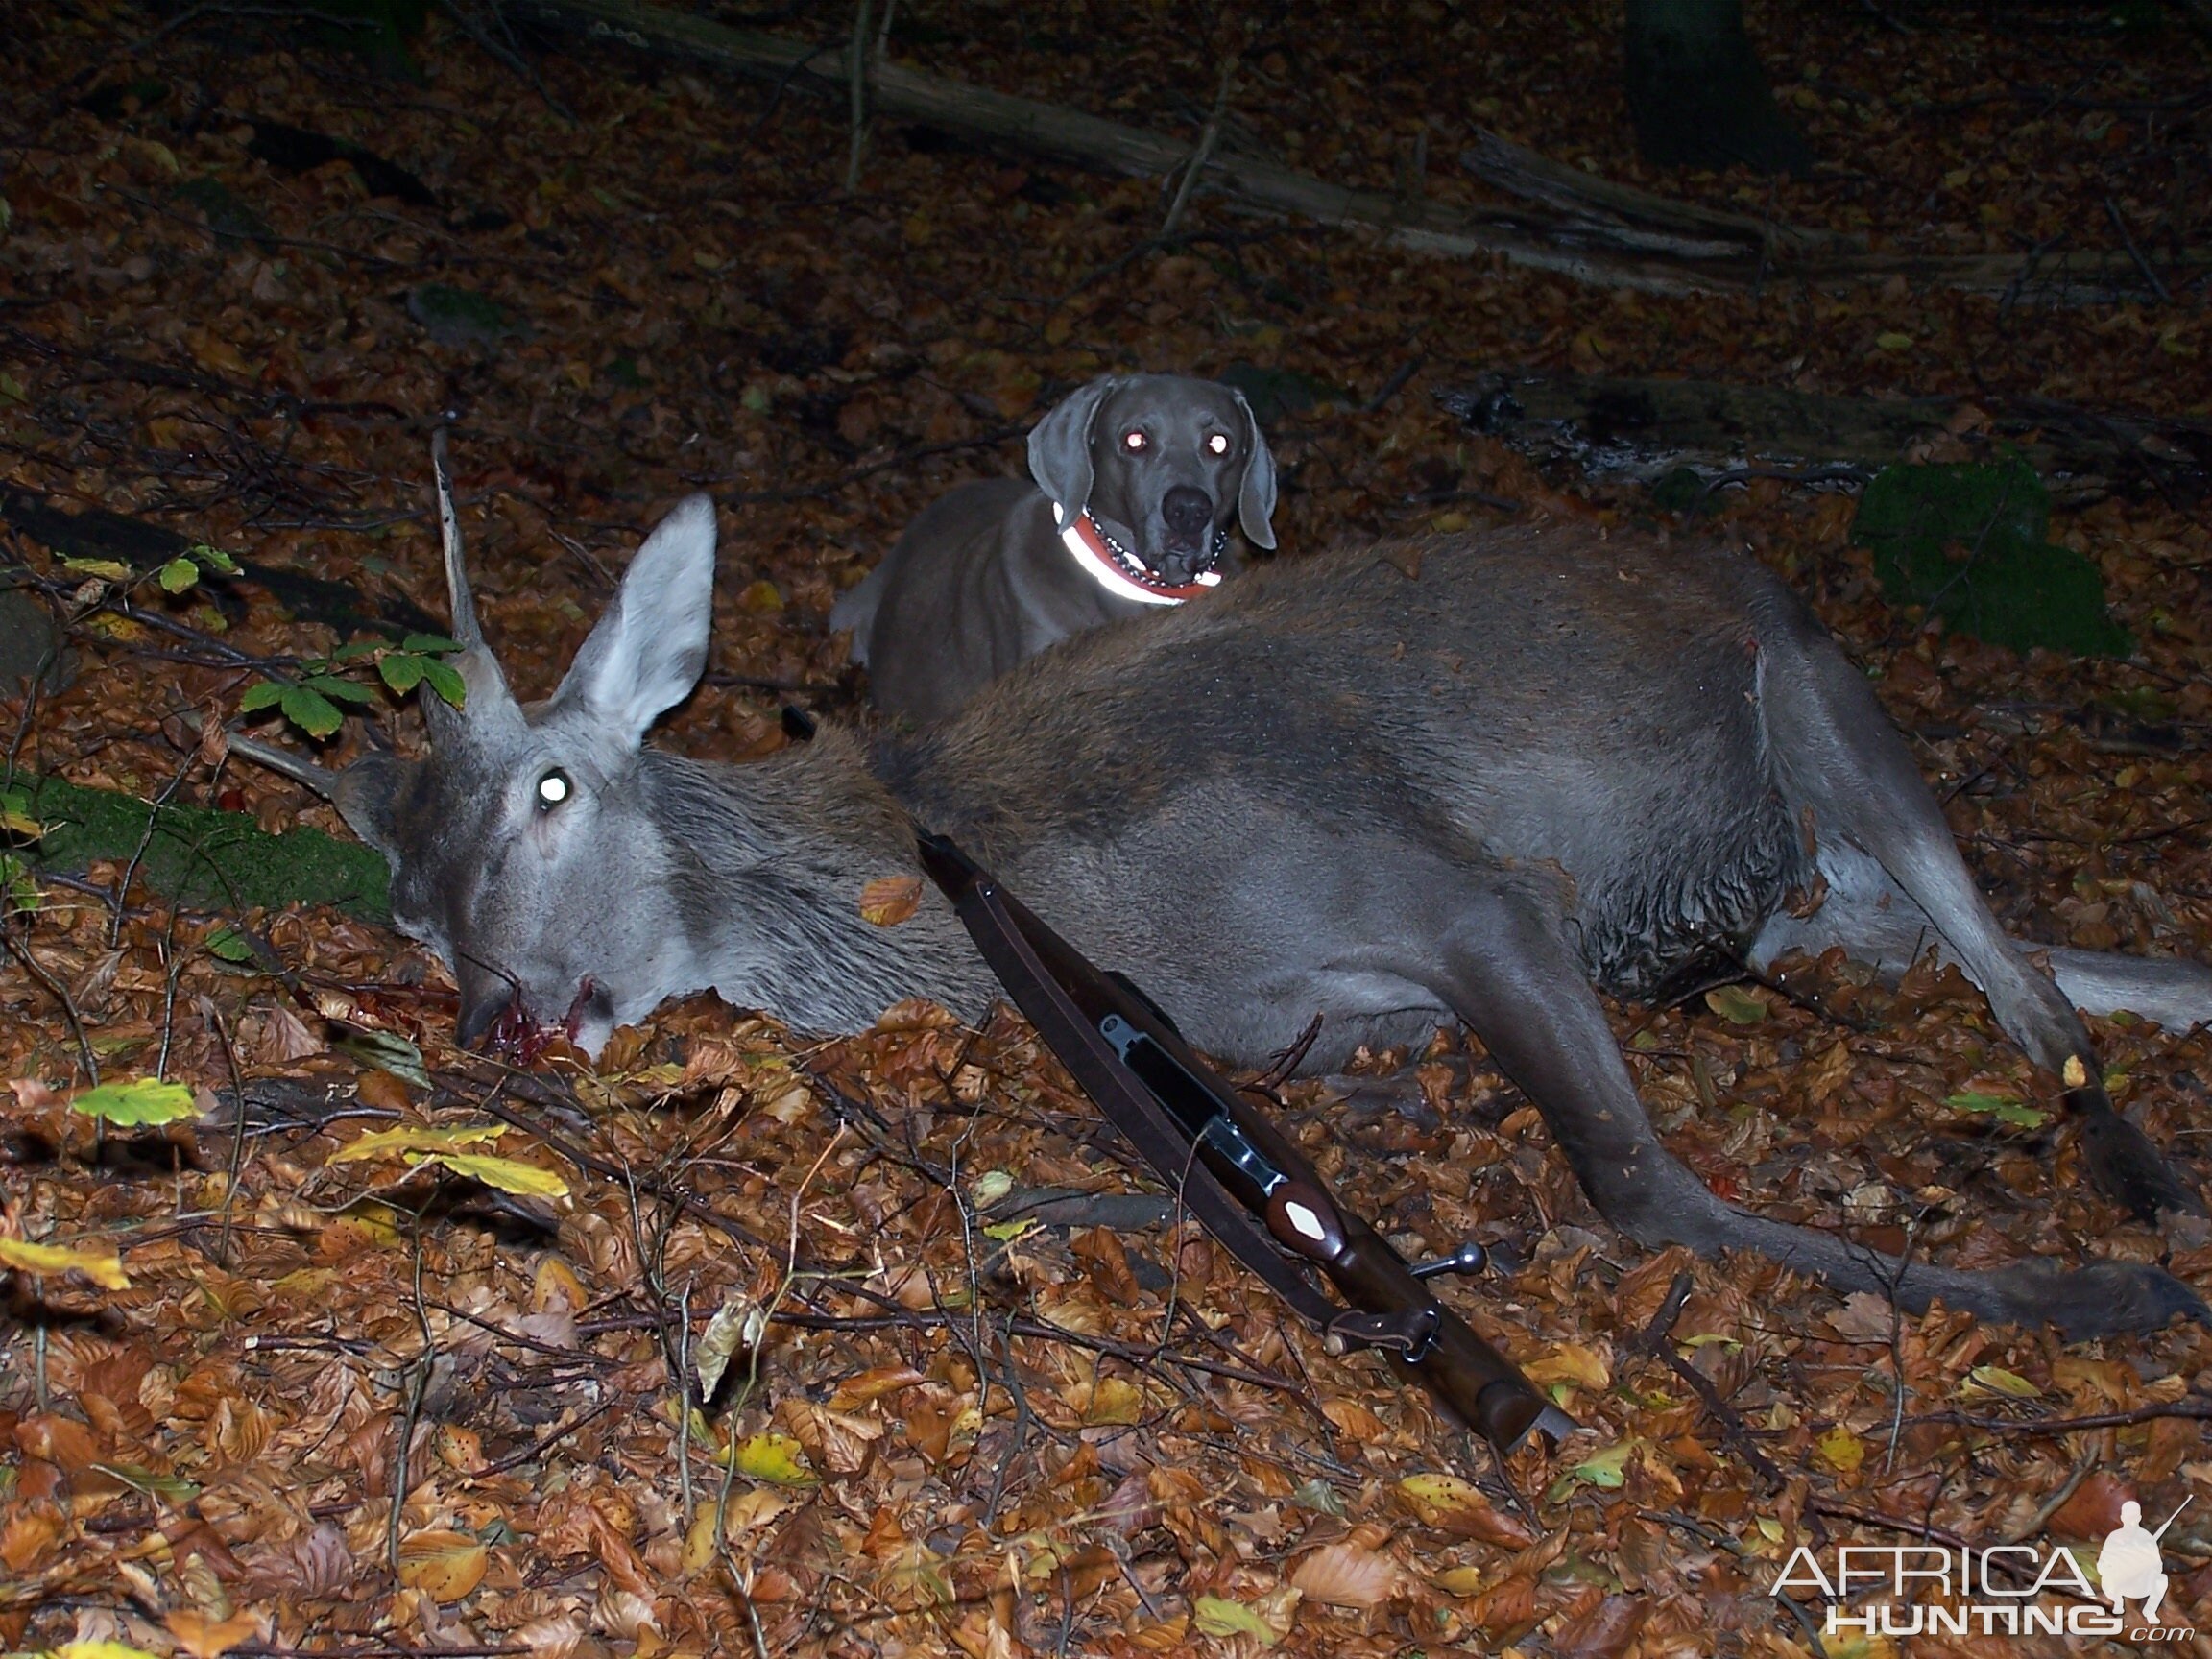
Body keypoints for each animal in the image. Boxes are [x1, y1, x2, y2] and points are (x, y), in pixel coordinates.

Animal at [242, 462, 2212, 1344]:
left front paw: (2081, 1293)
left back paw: (2137, 1199)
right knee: (2031, 962)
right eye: (408, 910)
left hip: (1817, 688)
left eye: (556, 787)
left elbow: (1636, 1186)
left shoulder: (1459, 886)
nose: (500, 1008)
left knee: (2018, 971)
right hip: (1812, 894)